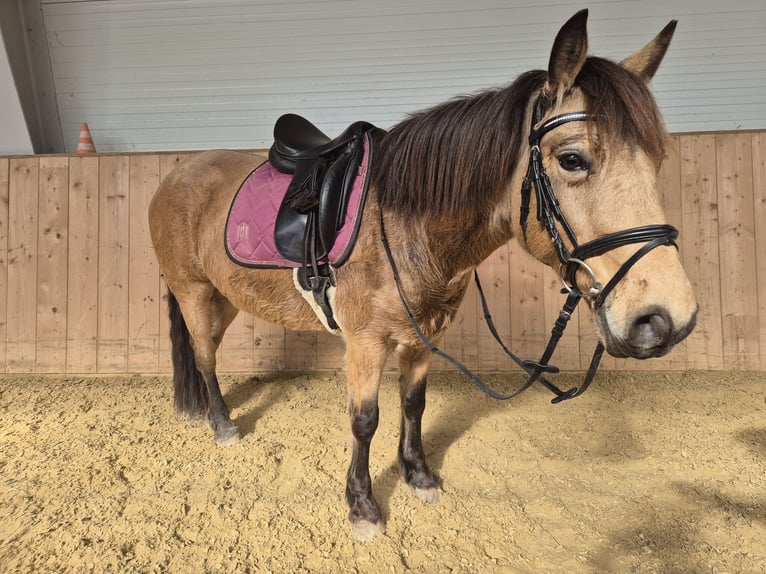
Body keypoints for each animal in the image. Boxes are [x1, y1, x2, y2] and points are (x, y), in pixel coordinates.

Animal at [148, 10, 698, 541]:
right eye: (572, 159)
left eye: (658, 159)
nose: (665, 319)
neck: (406, 224)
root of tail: (176, 173)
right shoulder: (365, 341)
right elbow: (364, 419)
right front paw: (363, 506)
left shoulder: (422, 336)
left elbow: (413, 404)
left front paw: (417, 475)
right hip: (193, 291)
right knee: (204, 355)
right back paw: (222, 426)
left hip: (225, 297)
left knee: (206, 350)